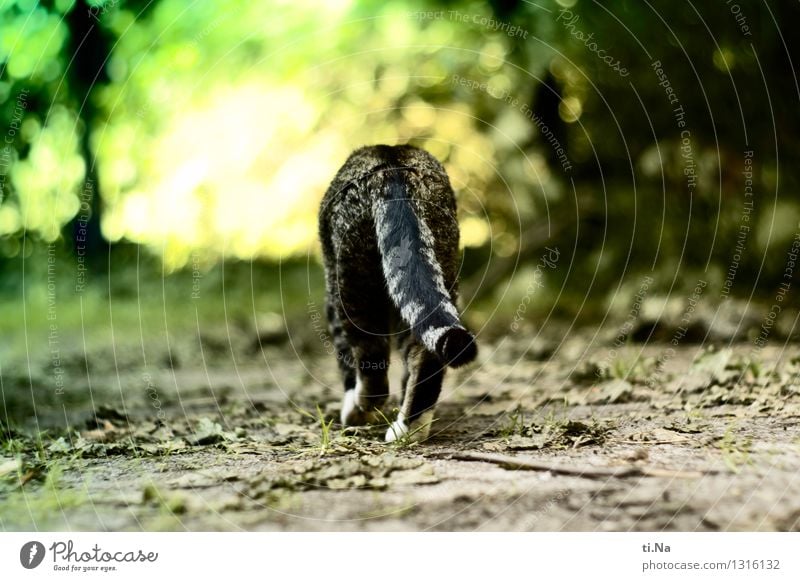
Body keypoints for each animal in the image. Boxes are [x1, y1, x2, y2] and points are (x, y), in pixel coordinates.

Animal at [318, 144, 478, 440]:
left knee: (371, 357)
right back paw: (409, 427)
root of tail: (391, 163)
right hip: (442, 264)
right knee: (424, 356)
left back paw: (362, 407)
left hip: (352, 282)